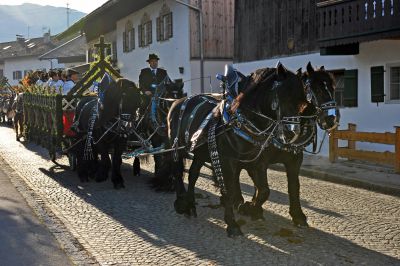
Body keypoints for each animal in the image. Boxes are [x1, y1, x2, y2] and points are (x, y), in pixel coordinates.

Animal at [166, 64, 306, 237]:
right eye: (283, 95)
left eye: (303, 102)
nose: (293, 134)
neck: (241, 122)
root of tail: (177, 102)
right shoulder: (228, 161)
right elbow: (231, 190)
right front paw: (232, 222)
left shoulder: (258, 161)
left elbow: (265, 189)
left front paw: (251, 208)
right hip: (176, 148)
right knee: (178, 173)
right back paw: (181, 202)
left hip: (200, 152)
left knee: (193, 174)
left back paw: (191, 204)